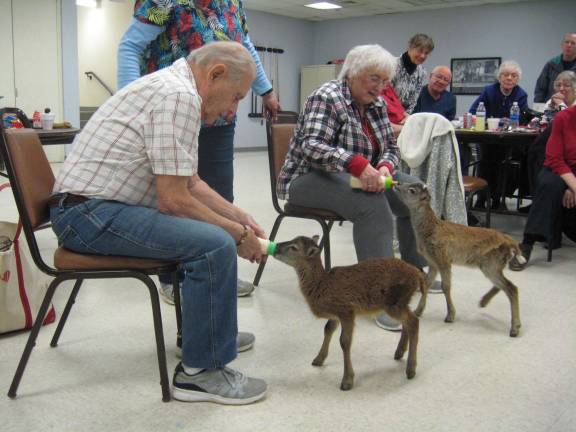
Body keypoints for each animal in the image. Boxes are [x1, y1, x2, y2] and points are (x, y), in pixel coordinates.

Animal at [272, 236, 426, 392]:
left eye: (294, 247)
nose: (276, 246)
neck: (321, 287)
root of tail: (418, 275)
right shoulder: (335, 314)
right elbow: (327, 329)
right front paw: (318, 359)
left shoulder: (346, 310)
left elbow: (344, 341)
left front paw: (347, 381)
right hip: (401, 303)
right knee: (408, 321)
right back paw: (399, 352)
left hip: (394, 303)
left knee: (413, 321)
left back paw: (410, 369)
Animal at [396, 182, 520, 338]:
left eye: (412, 190)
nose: (397, 185)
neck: (430, 230)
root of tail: (509, 241)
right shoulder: (432, 262)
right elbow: (426, 284)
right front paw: (418, 311)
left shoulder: (443, 258)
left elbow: (446, 287)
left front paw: (450, 315)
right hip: (491, 265)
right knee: (504, 285)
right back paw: (484, 302)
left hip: (491, 264)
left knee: (511, 288)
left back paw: (514, 328)